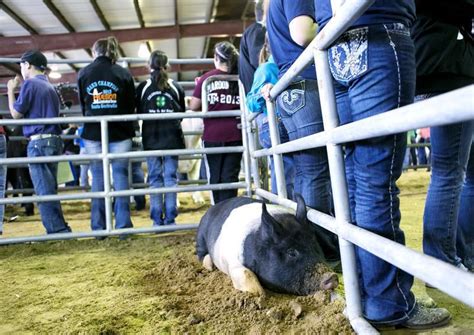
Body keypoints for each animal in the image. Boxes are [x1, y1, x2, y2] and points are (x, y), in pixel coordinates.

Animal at [194, 196, 338, 296]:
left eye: (315, 244)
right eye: (291, 251)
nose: (331, 276)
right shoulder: (232, 261)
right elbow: (245, 273)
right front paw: (259, 294)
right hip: (200, 236)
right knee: (201, 253)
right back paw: (209, 266)